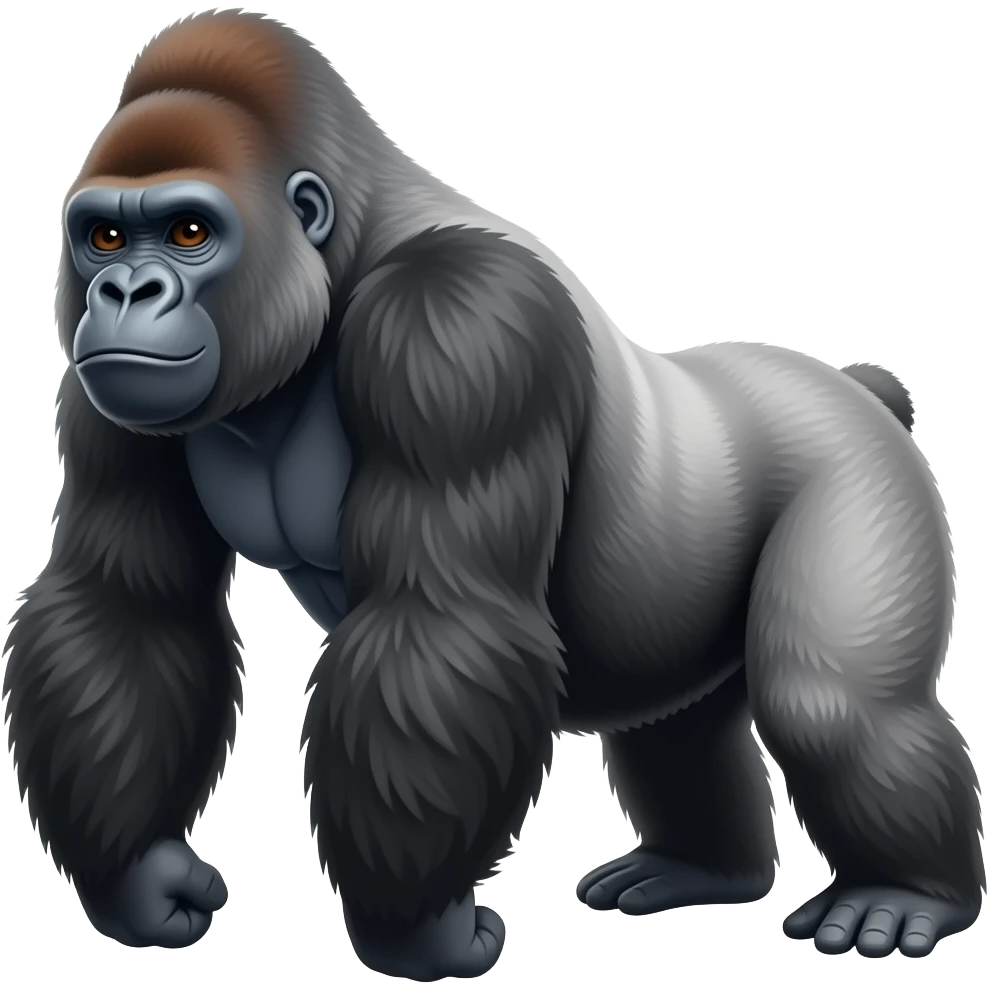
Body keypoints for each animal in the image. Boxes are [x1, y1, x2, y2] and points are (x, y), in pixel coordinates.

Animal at [3, 7, 982, 978]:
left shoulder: (457, 325)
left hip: (855, 465)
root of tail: (849, 384)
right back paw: (703, 867)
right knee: (680, 729)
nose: (127, 291)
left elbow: (439, 619)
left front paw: (413, 932)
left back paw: (904, 892)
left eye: (189, 233)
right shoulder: (100, 391)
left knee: (829, 709)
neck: (342, 251)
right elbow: (128, 605)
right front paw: (138, 877)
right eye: (104, 238)